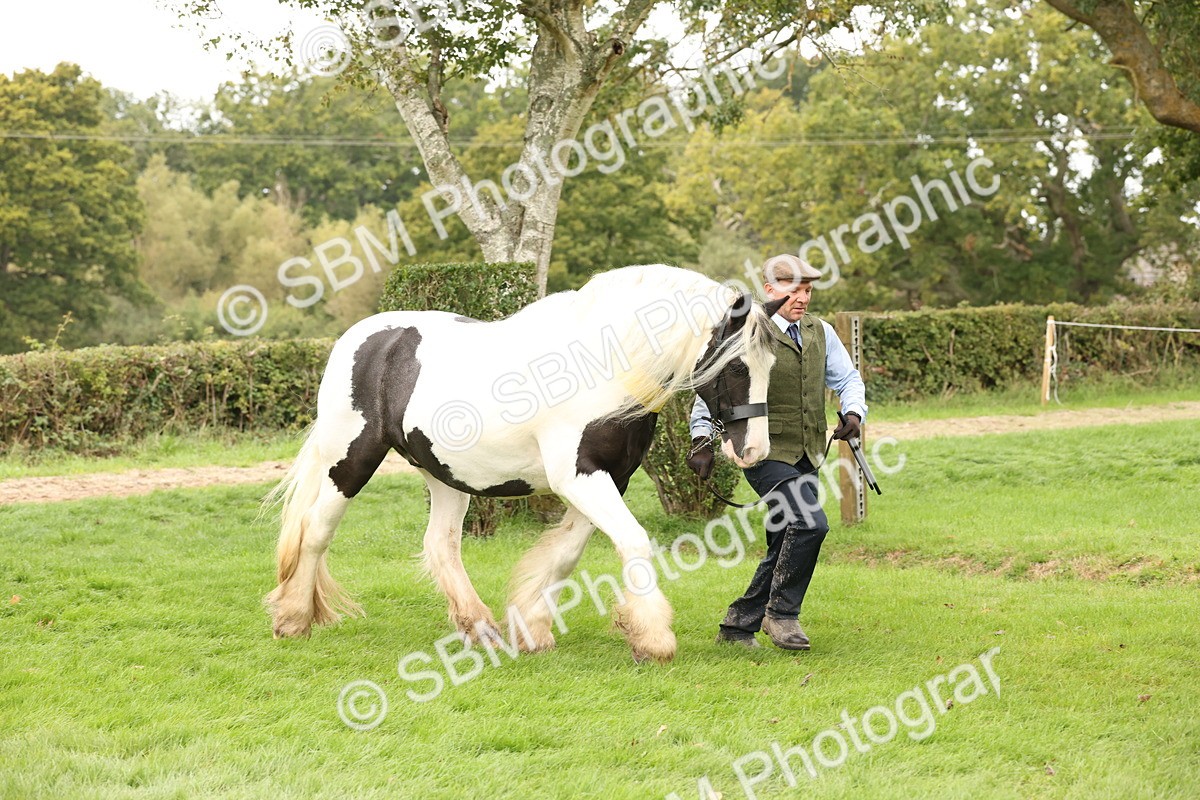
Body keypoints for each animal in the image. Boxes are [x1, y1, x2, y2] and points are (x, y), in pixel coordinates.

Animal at [265, 264, 786, 663]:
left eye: (771, 365)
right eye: (735, 366)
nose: (753, 451)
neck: (605, 366)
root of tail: (359, 339)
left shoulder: (609, 478)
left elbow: (566, 554)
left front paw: (533, 628)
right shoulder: (579, 476)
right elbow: (633, 541)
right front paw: (653, 638)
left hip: (444, 475)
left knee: (441, 545)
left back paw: (480, 629)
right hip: (350, 460)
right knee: (316, 530)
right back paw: (293, 618)